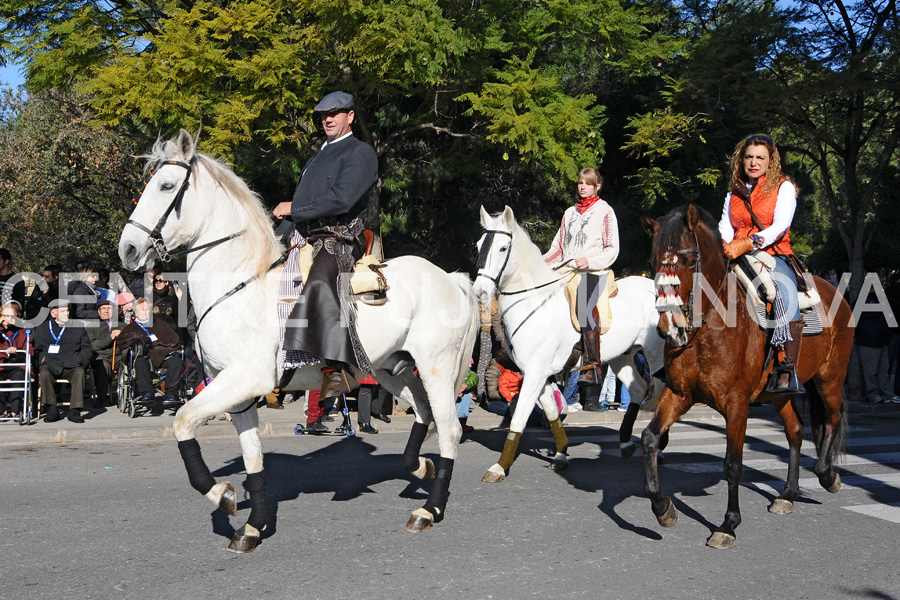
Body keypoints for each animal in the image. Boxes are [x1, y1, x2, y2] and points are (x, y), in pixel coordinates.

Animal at [119, 131, 478, 552]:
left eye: (166, 186)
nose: (127, 249)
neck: (241, 285)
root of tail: (450, 277)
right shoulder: (234, 389)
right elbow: (252, 456)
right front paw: (252, 526)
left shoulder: (244, 380)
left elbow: (182, 421)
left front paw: (221, 494)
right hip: (393, 370)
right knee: (423, 414)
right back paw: (420, 466)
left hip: (437, 368)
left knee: (449, 429)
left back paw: (429, 509)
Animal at [474, 206, 664, 482]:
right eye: (479, 245)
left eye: (502, 248)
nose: (480, 292)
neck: (534, 301)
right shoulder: (540, 373)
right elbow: (552, 413)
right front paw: (561, 454)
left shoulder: (534, 373)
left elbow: (519, 417)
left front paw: (499, 466)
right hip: (623, 357)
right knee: (639, 390)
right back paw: (627, 445)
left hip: (658, 356)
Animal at [640, 206, 852, 548]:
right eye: (653, 261)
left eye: (689, 261)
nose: (669, 325)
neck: (709, 327)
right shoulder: (678, 394)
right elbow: (649, 438)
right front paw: (662, 507)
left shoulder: (737, 404)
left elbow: (732, 464)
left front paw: (728, 524)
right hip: (780, 393)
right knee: (795, 430)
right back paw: (788, 493)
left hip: (829, 378)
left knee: (833, 417)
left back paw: (827, 475)